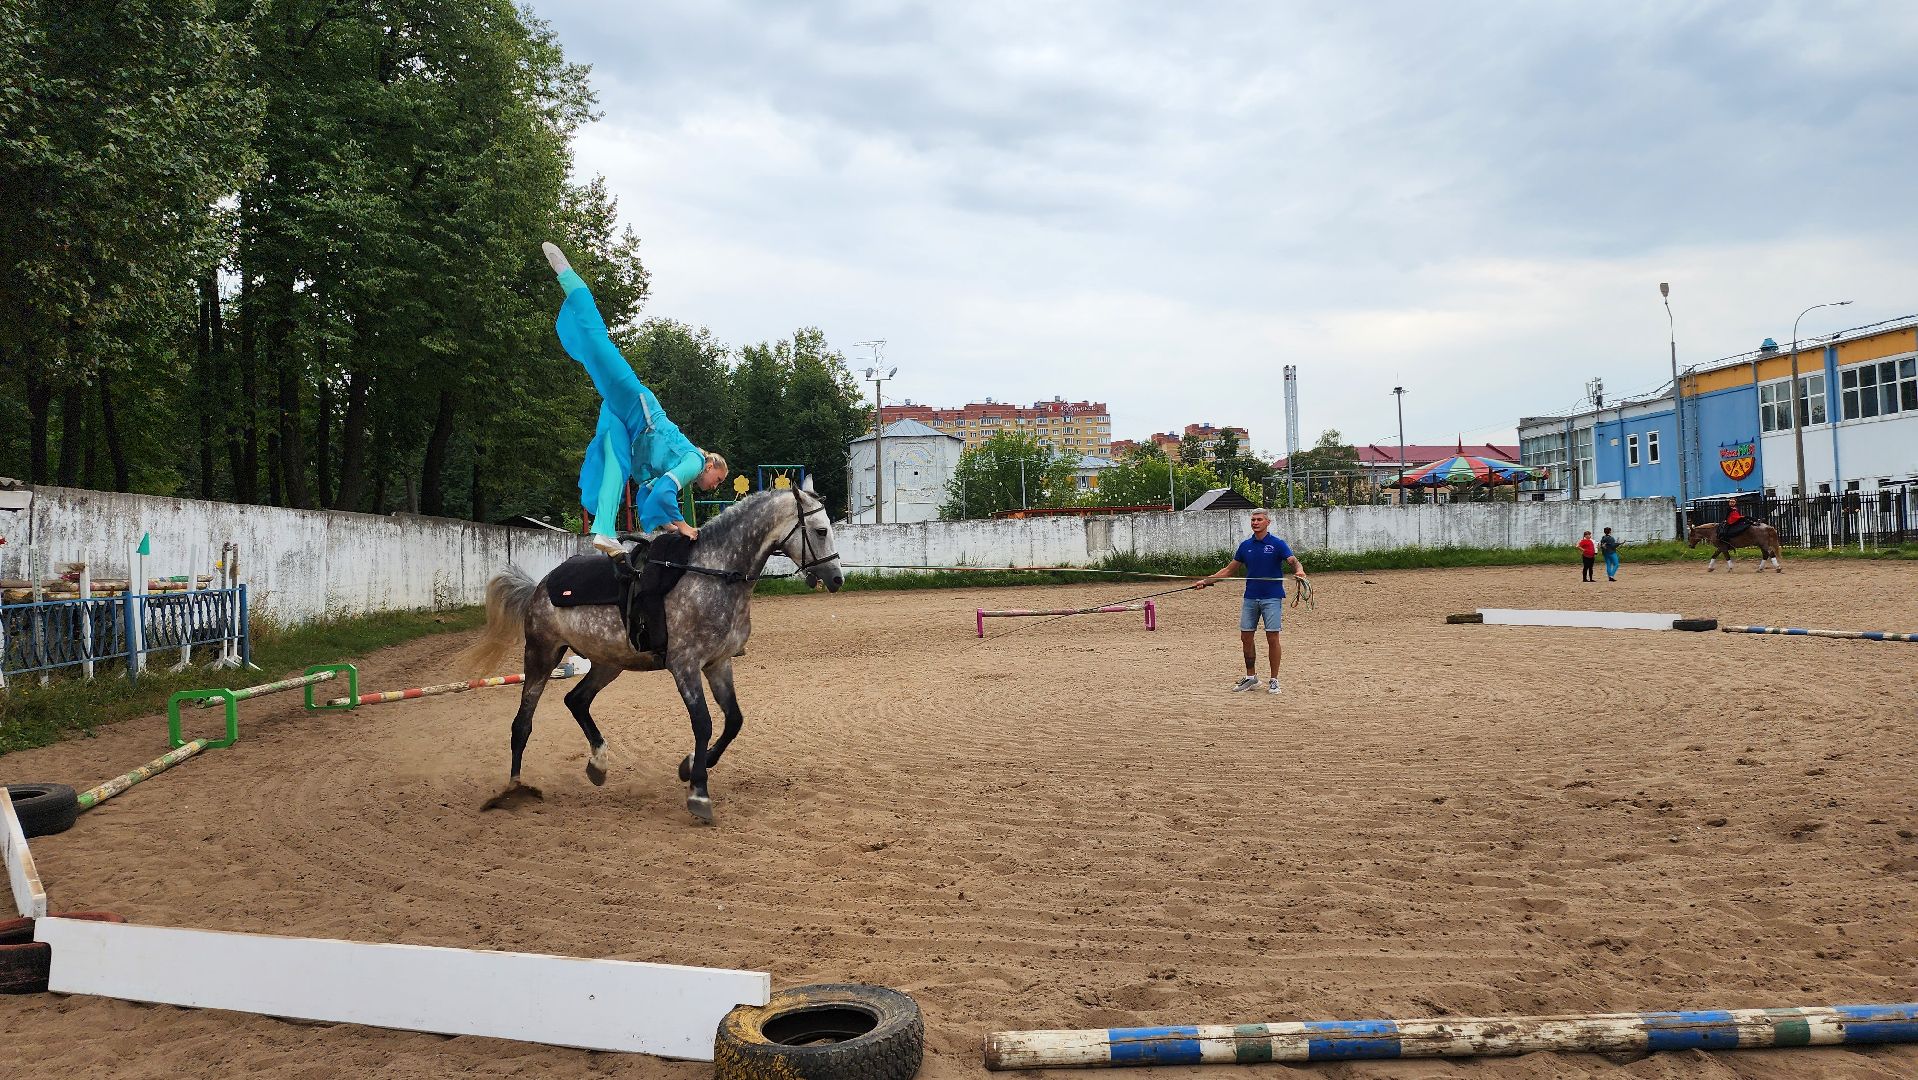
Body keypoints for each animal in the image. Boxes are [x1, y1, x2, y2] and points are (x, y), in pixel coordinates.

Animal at [462, 484, 844, 824]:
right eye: (821, 530)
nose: (837, 578)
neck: (714, 574)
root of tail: (540, 587)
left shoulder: (718, 664)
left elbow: (733, 720)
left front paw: (691, 766)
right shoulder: (685, 665)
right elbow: (703, 723)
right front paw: (698, 792)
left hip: (608, 663)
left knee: (577, 700)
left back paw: (598, 764)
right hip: (542, 655)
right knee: (522, 724)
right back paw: (513, 790)